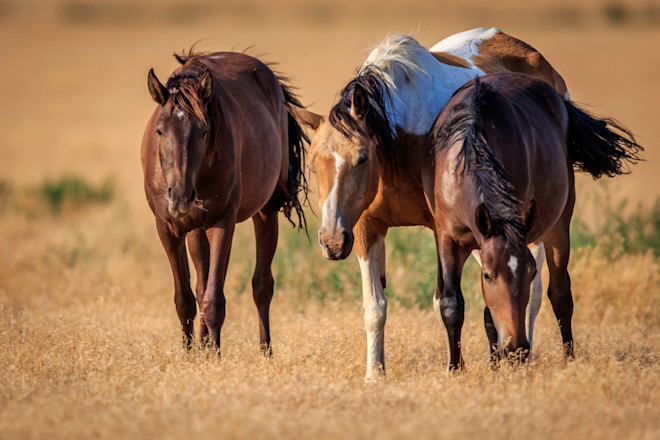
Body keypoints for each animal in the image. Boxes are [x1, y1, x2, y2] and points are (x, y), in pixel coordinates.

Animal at [141, 51, 308, 353]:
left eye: (204, 131)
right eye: (160, 131)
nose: (180, 195)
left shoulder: (221, 223)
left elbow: (214, 300)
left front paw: (215, 356)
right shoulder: (167, 228)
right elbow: (185, 299)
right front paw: (191, 355)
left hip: (265, 211)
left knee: (261, 285)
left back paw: (264, 351)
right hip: (195, 229)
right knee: (202, 284)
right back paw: (205, 345)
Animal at [293, 28, 568, 379]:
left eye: (362, 158)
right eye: (313, 163)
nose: (331, 241)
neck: (397, 140)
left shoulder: (444, 230)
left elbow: (446, 300)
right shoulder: (366, 228)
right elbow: (375, 308)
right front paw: (374, 374)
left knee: (533, 291)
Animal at [425, 72, 641, 369]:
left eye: (530, 273)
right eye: (487, 275)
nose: (516, 348)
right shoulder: (448, 238)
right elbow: (451, 304)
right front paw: (456, 368)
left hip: (559, 225)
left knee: (561, 294)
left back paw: (568, 359)